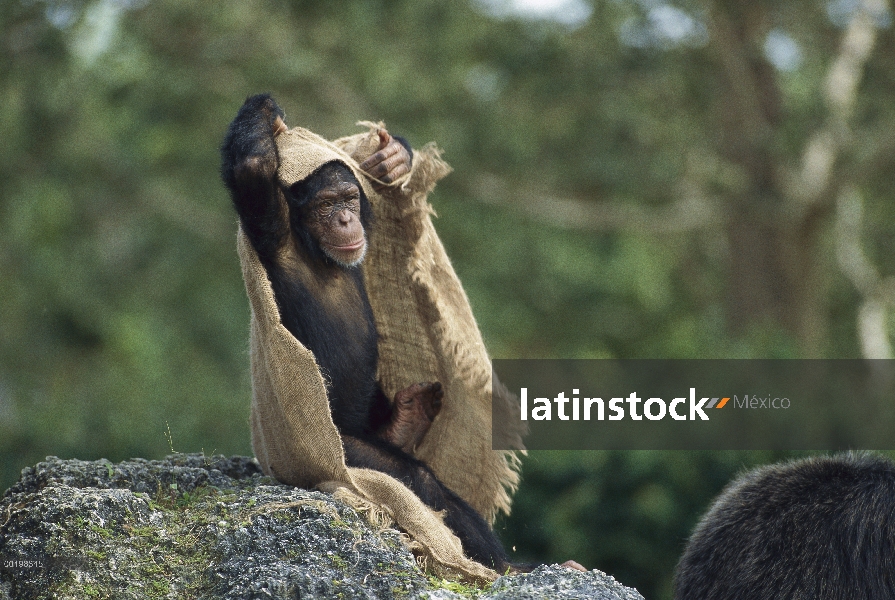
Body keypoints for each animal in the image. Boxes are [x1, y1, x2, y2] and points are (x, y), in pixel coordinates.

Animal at [219, 95, 512, 572]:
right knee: (413, 479)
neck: (314, 250)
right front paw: (266, 113)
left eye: (349, 198)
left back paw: (406, 421)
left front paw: (394, 158)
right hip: (347, 447)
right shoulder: (270, 226)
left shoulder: (368, 220)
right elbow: (253, 167)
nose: (343, 219)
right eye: (325, 204)